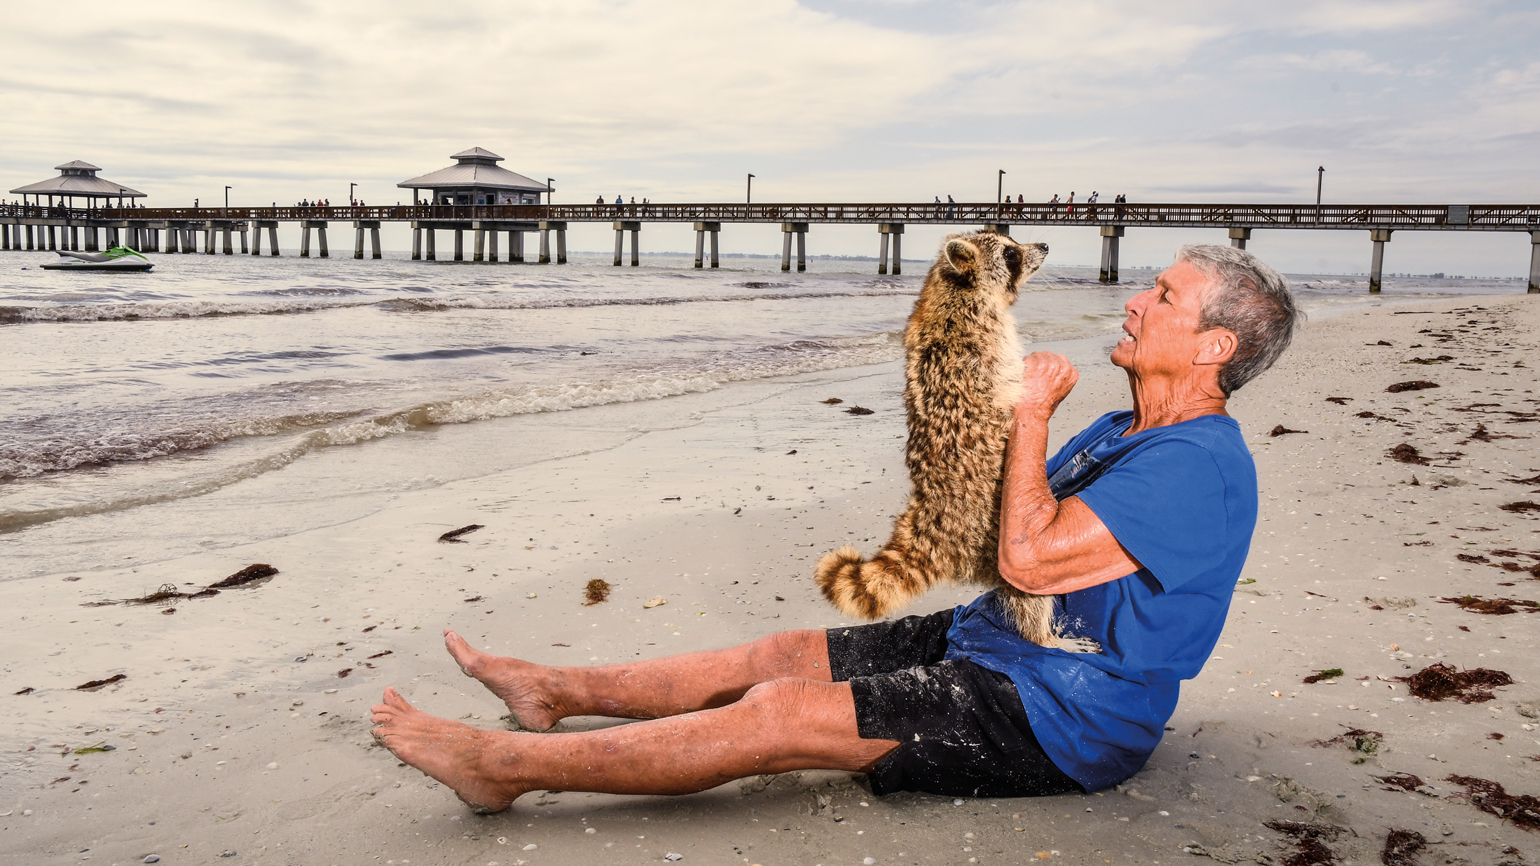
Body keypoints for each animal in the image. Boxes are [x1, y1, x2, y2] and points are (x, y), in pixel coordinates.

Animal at [814, 231, 1090, 650]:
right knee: (1030, 590)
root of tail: (932, 521)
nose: (1043, 246)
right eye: (1011, 254)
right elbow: (1011, 390)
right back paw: (1042, 636)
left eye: (1013, 241)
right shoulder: (983, 348)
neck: (954, 288)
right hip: (999, 544)